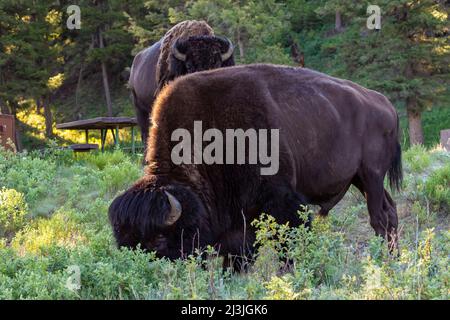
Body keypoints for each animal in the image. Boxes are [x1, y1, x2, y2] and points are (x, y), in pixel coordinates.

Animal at [110, 63, 404, 270]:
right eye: (123, 244)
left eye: (159, 239)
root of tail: (385, 104)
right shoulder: (238, 218)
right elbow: (238, 254)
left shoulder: (280, 200)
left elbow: (287, 241)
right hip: (359, 179)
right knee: (390, 212)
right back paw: (396, 259)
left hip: (371, 175)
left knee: (379, 217)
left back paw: (386, 262)